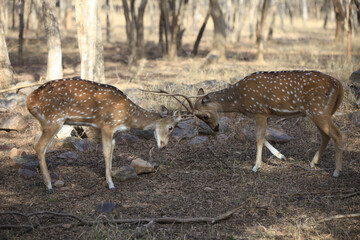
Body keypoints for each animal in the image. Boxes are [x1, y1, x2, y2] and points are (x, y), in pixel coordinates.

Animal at [26, 79, 190, 193]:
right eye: (170, 127)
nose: (163, 145)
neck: (128, 116)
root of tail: (29, 100)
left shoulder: (115, 132)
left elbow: (112, 151)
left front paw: (111, 177)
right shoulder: (107, 125)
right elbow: (105, 151)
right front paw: (110, 185)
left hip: (47, 122)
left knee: (36, 144)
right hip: (53, 119)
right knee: (39, 146)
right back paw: (49, 186)